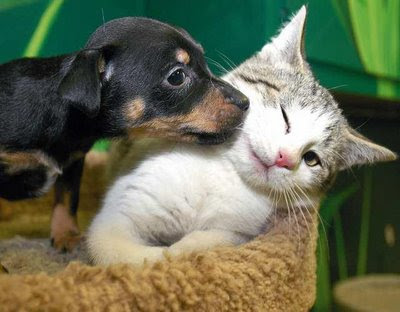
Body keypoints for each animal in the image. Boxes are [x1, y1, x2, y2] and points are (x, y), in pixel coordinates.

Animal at [0, 17, 248, 251]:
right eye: (177, 76)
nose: (245, 102)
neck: (65, 116)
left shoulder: (74, 162)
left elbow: (67, 199)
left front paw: (66, 236)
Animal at [86, 6, 396, 266]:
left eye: (311, 159)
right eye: (284, 115)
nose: (285, 158)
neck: (226, 172)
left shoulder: (244, 230)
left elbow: (218, 238)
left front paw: (184, 249)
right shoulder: (125, 202)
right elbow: (110, 246)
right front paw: (160, 257)